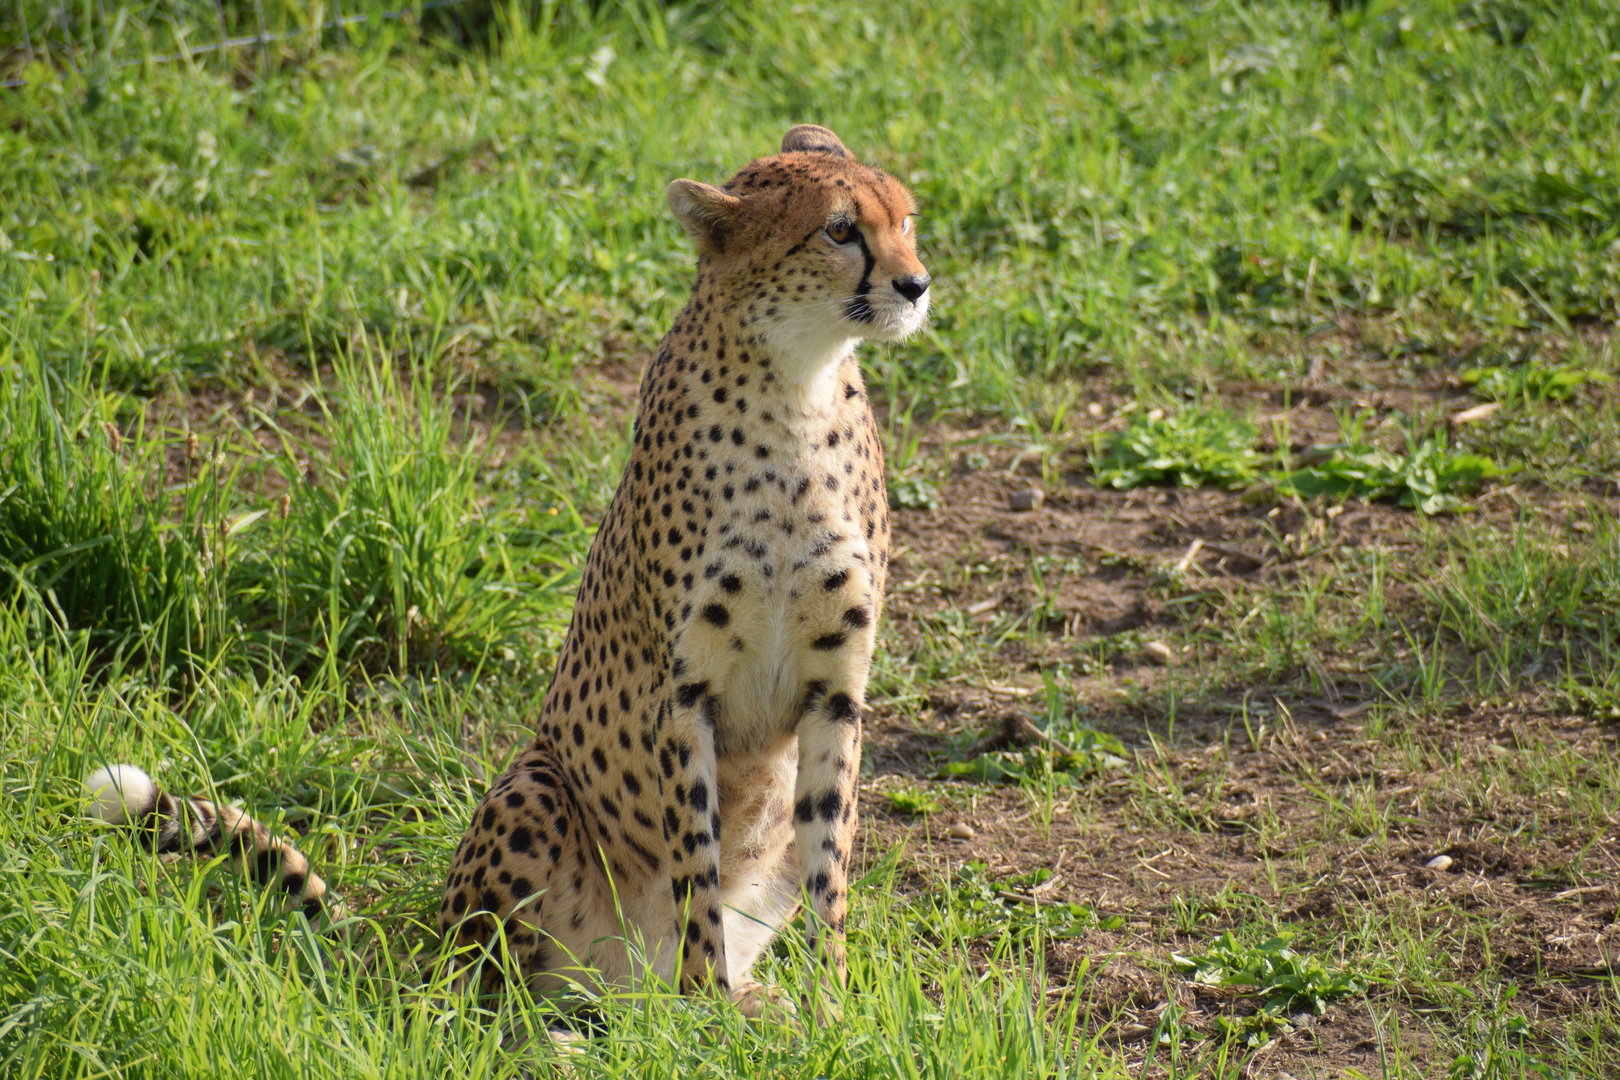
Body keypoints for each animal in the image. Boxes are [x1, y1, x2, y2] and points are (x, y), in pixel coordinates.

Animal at [85, 124, 931, 1015]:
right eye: (840, 230)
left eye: (907, 220)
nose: (916, 285)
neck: (797, 388)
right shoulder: (682, 692)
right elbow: (696, 871)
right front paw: (708, 1011)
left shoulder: (835, 691)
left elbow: (828, 868)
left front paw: (833, 1007)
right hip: (533, 789)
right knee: (486, 995)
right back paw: (592, 1019)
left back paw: (736, 1002)